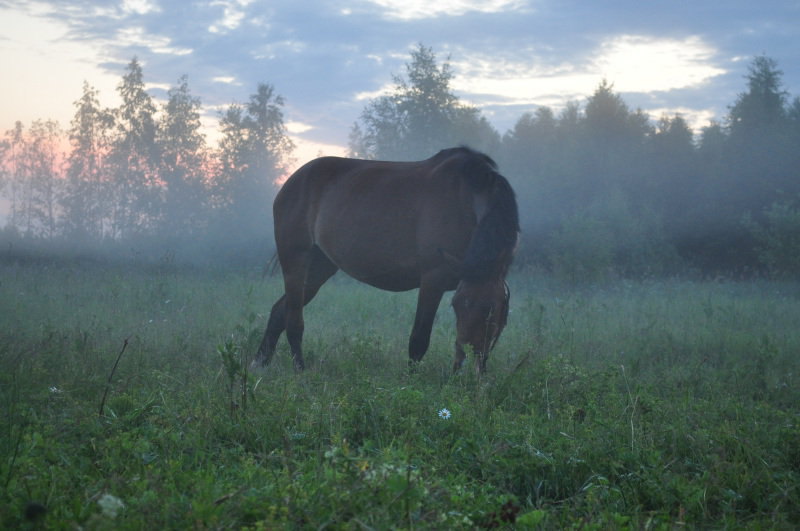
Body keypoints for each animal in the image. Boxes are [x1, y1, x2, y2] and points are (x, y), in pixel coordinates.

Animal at [253, 145, 520, 374]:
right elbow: (419, 339)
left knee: (279, 312)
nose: (461, 369)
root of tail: (292, 180)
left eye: (491, 311)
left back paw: (260, 363)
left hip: (319, 267)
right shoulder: (433, 279)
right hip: (295, 260)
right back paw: (299, 369)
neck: (466, 199)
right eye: (456, 306)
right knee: (293, 320)